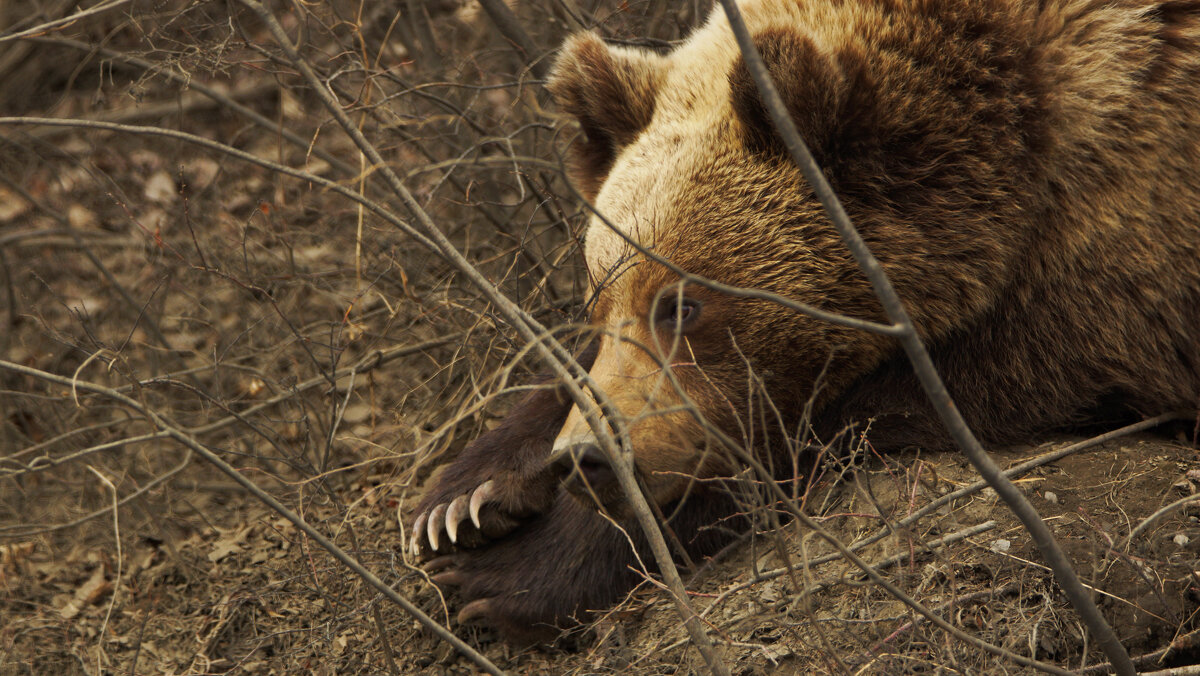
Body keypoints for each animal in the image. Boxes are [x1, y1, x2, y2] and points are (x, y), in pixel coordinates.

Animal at [412, 0, 1200, 643]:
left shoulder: (1108, 262)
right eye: (597, 303)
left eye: (683, 305)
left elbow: (813, 430)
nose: (587, 456)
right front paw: (467, 498)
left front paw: (508, 575)